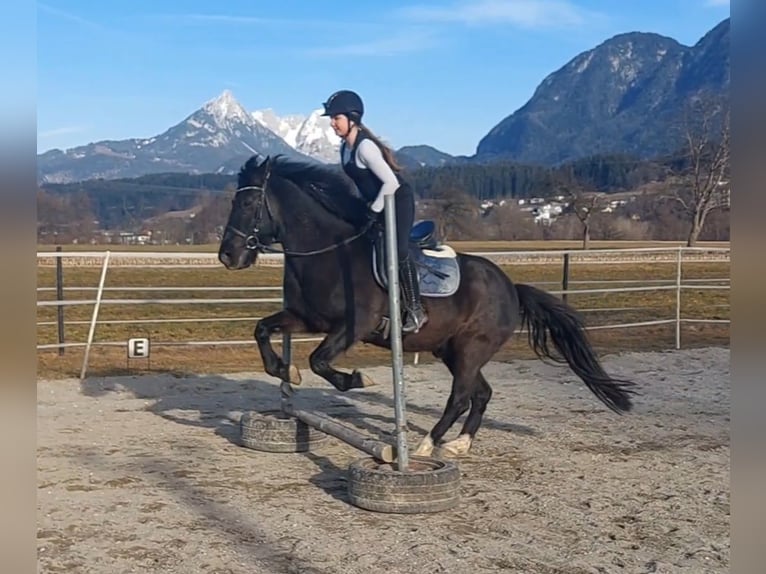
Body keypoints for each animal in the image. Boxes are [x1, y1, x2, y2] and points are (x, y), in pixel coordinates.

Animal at [216, 154, 636, 460]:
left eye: (249, 202)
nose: (228, 256)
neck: (329, 252)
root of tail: (511, 288)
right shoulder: (306, 318)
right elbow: (262, 329)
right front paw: (285, 370)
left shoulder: (354, 325)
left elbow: (320, 361)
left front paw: (356, 380)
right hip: (451, 349)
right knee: (480, 394)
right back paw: (459, 443)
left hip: (471, 348)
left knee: (461, 396)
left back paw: (425, 445)